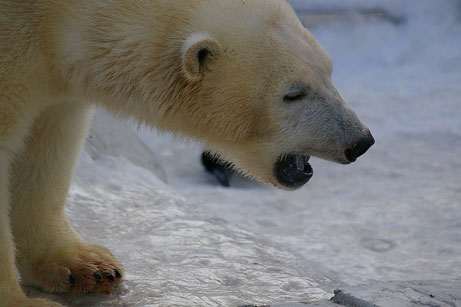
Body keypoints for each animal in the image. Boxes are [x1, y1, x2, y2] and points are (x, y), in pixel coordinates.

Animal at [0, 1, 374, 306]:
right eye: (293, 93)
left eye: (329, 71)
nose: (360, 142)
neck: (55, 15)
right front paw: (23, 301)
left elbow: (50, 140)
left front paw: (83, 265)